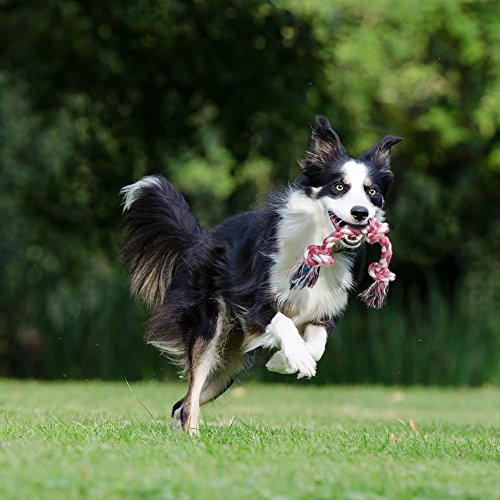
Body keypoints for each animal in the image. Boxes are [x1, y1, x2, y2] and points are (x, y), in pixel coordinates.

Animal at [121, 117, 402, 434]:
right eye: (340, 186)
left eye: (372, 191)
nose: (360, 213)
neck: (316, 241)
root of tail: (200, 239)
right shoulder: (252, 302)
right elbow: (284, 322)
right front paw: (297, 358)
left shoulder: (325, 309)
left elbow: (317, 345)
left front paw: (284, 360)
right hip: (209, 327)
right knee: (190, 397)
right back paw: (192, 436)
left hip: (228, 364)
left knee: (180, 404)